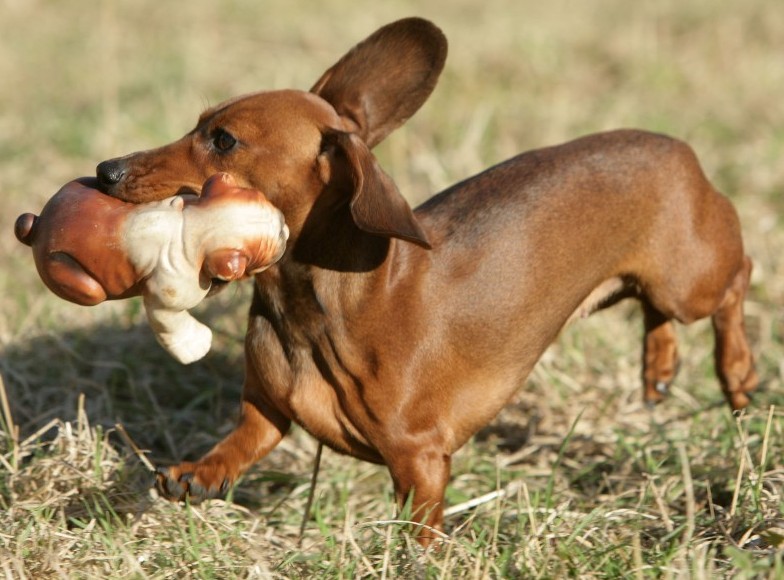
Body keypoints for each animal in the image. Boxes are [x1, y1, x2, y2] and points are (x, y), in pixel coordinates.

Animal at [93, 19, 760, 544]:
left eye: (223, 139)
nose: (106, 170)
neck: (318, 309)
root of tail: (676, 145)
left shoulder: (421, 461)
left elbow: (420, 533)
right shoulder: (266, 412)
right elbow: (239, 444)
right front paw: (196, 473)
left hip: (689, 281)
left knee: (736, 280)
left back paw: (736, 373)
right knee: (657, 312)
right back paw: (659, 367)